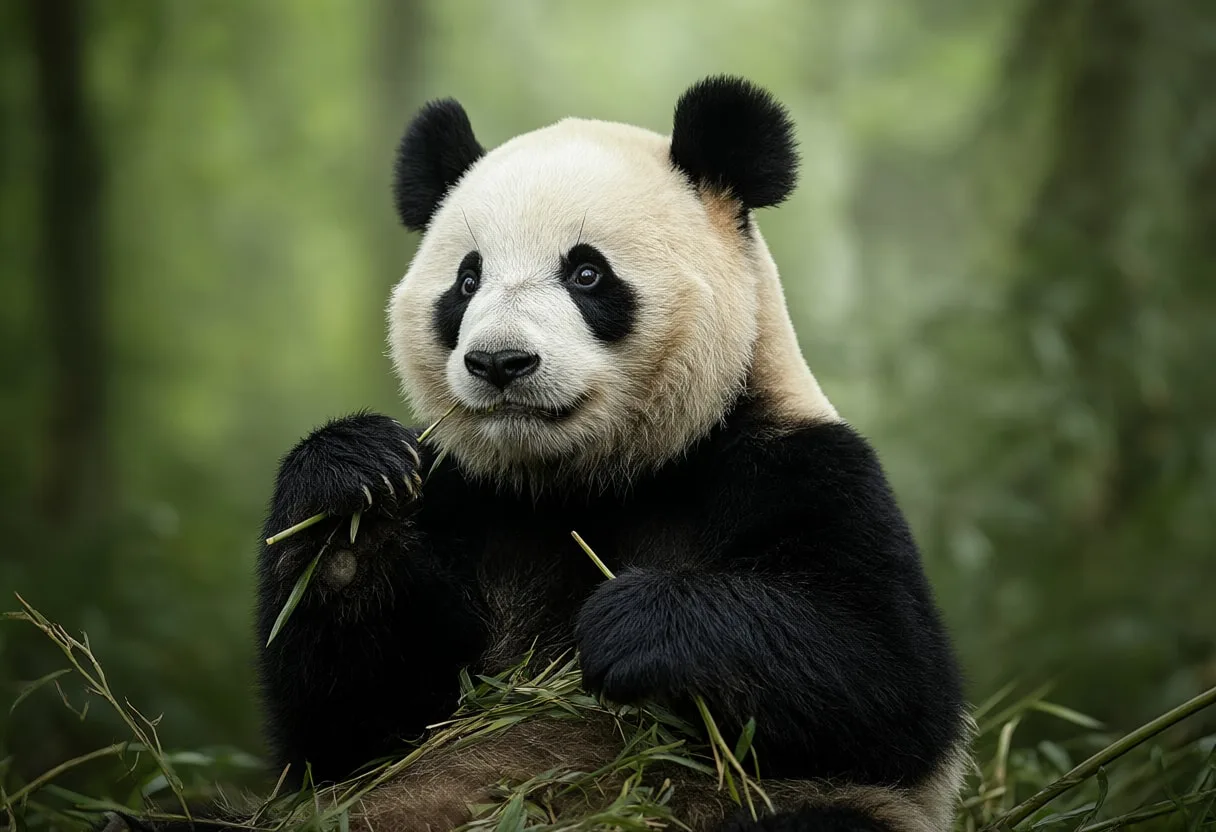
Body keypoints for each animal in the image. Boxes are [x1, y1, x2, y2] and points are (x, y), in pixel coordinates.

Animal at [249, 76, 969, 831]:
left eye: (587, 273)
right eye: (467, 281)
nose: (499, 362)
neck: (586, 478)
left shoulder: (801, 467)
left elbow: (889, 677)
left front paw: (632, 625)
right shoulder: (465, 499)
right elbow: (351, 727)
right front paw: (348, 496)